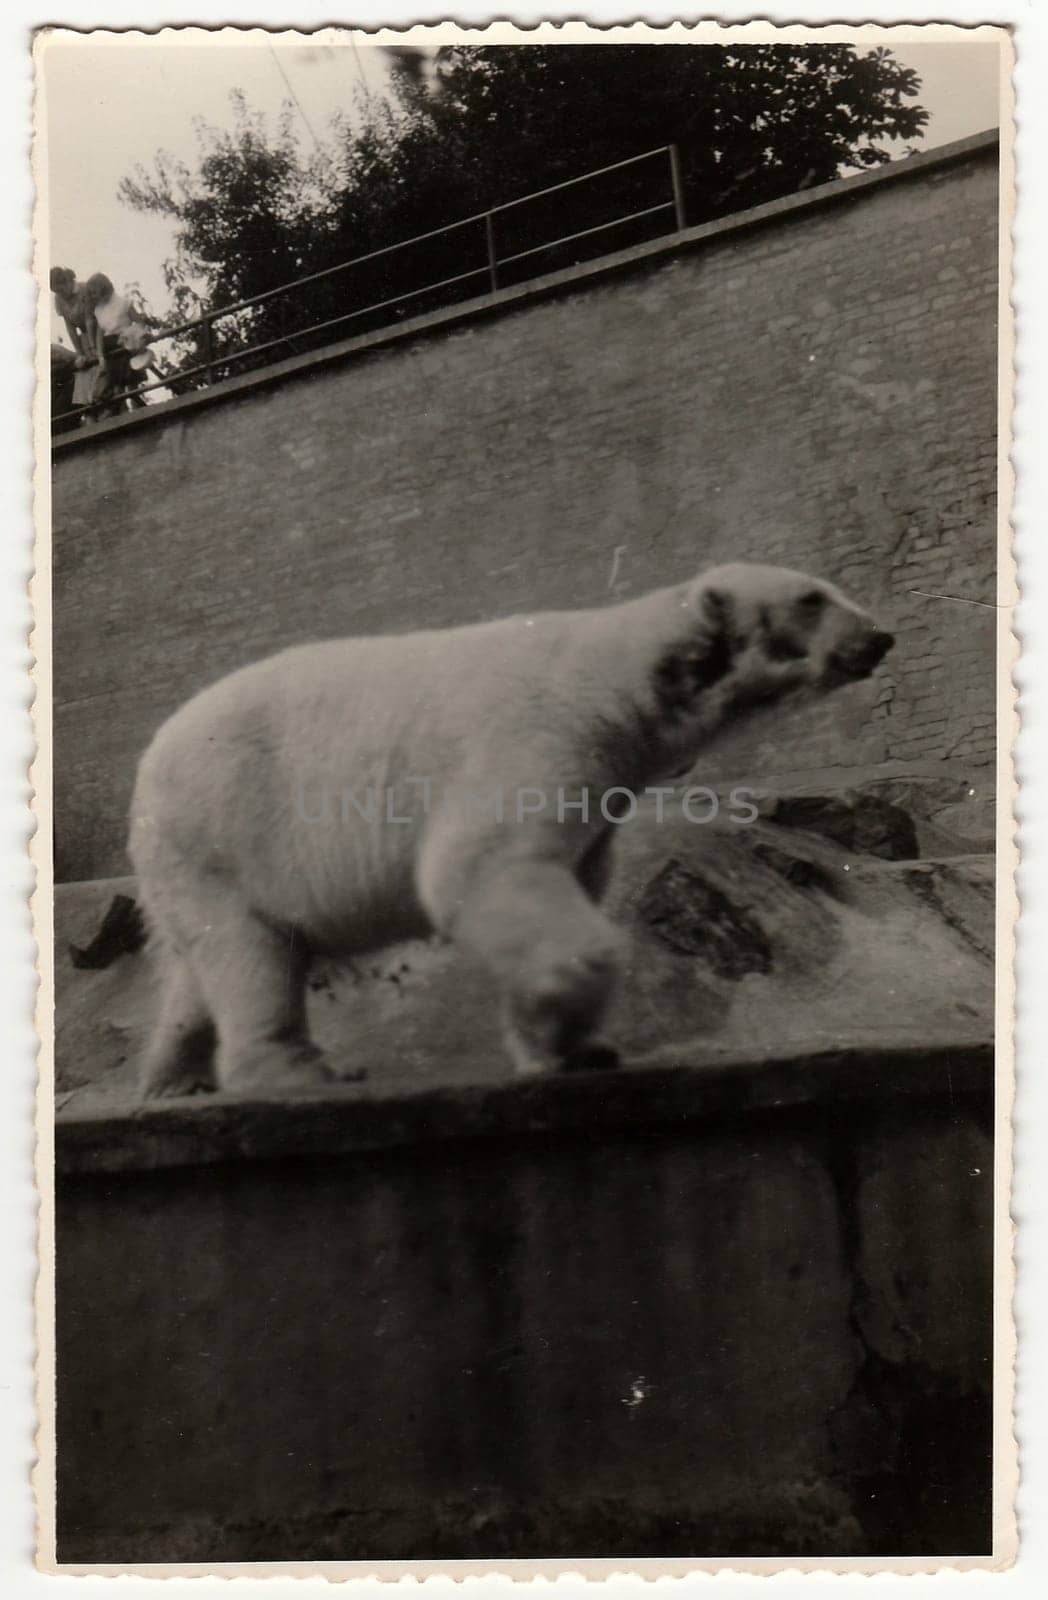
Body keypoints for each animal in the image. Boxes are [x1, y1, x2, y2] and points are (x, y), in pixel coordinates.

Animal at [127, 563, 889, 1100]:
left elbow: (564, 878)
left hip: (187, 863)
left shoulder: (603, 790)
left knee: (199, 964)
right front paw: (567, 1022)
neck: (612, 675)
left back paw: (174, 1075)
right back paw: (300, 1073)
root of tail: (147, 764)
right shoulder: (539, 736)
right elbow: (482, 868)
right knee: (252, 954)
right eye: (812, 598)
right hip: (224, 828)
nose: (880, 636)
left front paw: (566, 1046)